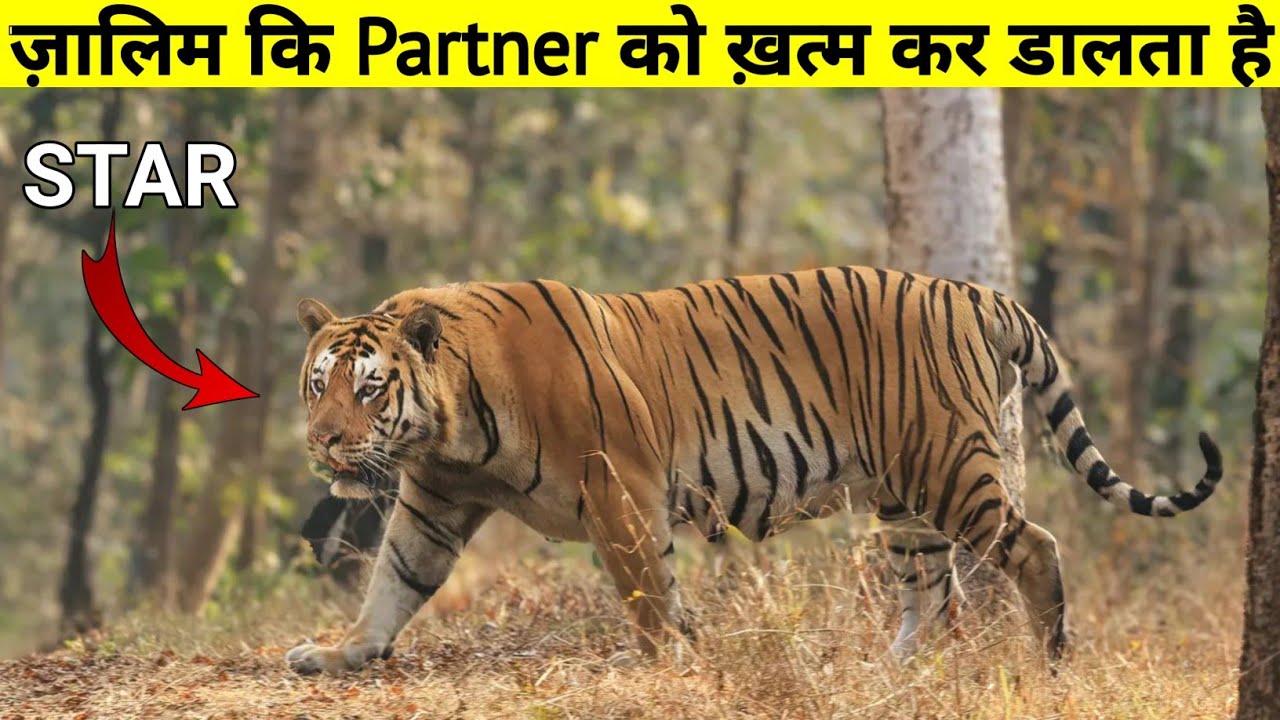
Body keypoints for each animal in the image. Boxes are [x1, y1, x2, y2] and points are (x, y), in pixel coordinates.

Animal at [284, 266, 1223, 675]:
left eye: (370, 388)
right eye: (320, 384)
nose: (326, 444)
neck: (443, 429)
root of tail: (975, 291)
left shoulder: (615, 483)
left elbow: (644, 585)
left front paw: (666, 660)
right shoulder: (435, 501)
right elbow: (395, 582)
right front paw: (341, 652)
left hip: (948, 465)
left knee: (1033, 547)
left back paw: (1051, 659)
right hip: (903, 499)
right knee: (934, 592)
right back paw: (897, 672)